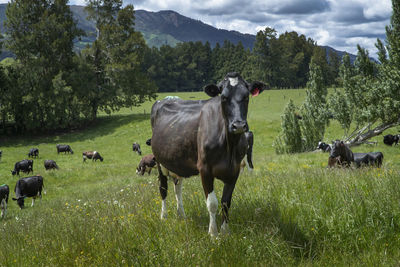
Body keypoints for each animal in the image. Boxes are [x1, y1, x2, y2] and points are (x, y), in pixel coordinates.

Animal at [149, 71, 266, 237]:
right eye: (223, 97)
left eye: (246, 96)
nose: (238, 125)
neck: (228, 146)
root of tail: (168, 98)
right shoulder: (204, 169)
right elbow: (212, 203)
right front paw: (213, 233)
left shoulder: (235, 170)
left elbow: (226, 202)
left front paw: (225, 232)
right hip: (160, 163)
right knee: (163, 189)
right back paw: (163, 216)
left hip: (176, 162)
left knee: (178, 188)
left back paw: (181, 215)